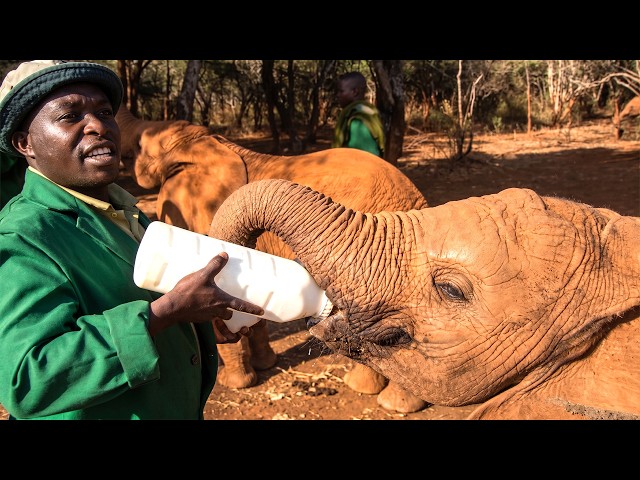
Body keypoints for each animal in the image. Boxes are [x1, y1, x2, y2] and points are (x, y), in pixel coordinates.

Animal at [115, 106, 431, 413]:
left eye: (140, 145)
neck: (206, 142)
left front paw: (236, 383)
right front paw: (265, 364)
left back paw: (391, 404)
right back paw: (366, 389)